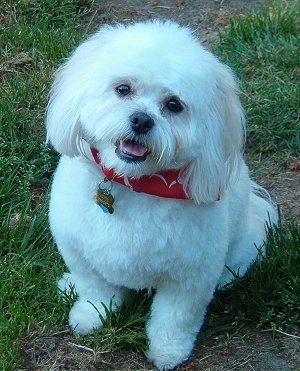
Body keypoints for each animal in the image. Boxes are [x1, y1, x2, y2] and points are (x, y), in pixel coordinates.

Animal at [45, 21, 278, 371]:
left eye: (174, 105)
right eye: (123, 88)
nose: (142, 119)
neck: (134, 184)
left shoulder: (190, 277)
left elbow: (175, 318)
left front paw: (168, 351)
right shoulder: (77, 248)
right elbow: (94, 287)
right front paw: (90, 315)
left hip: (243, 247)